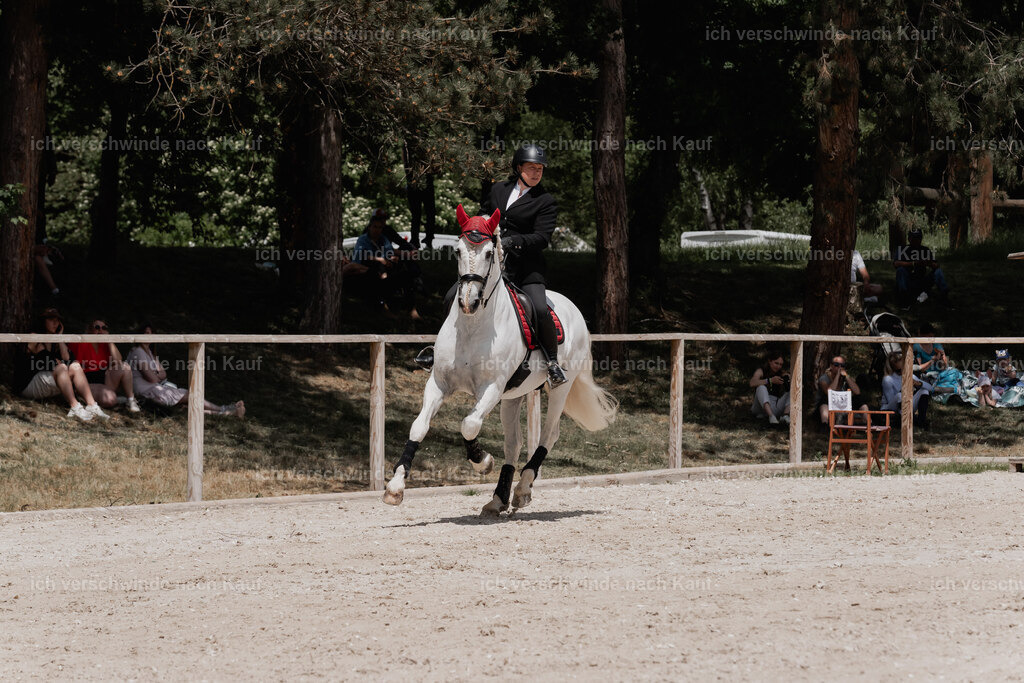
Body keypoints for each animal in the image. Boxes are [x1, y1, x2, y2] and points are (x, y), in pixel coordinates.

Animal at [383, 204, 618, 514]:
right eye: (457, 251)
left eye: (488, 253)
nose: (468, 302)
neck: (473, 327)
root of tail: (572, 308)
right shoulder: (438, 383)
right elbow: (419, 426)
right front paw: (395, 486)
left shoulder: (491, 388)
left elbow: (469, 425)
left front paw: (482, 461)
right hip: (513, 396)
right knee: (513, 443)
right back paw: (498, 497)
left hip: (560, 388)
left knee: (549, 435)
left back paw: (522, 488)